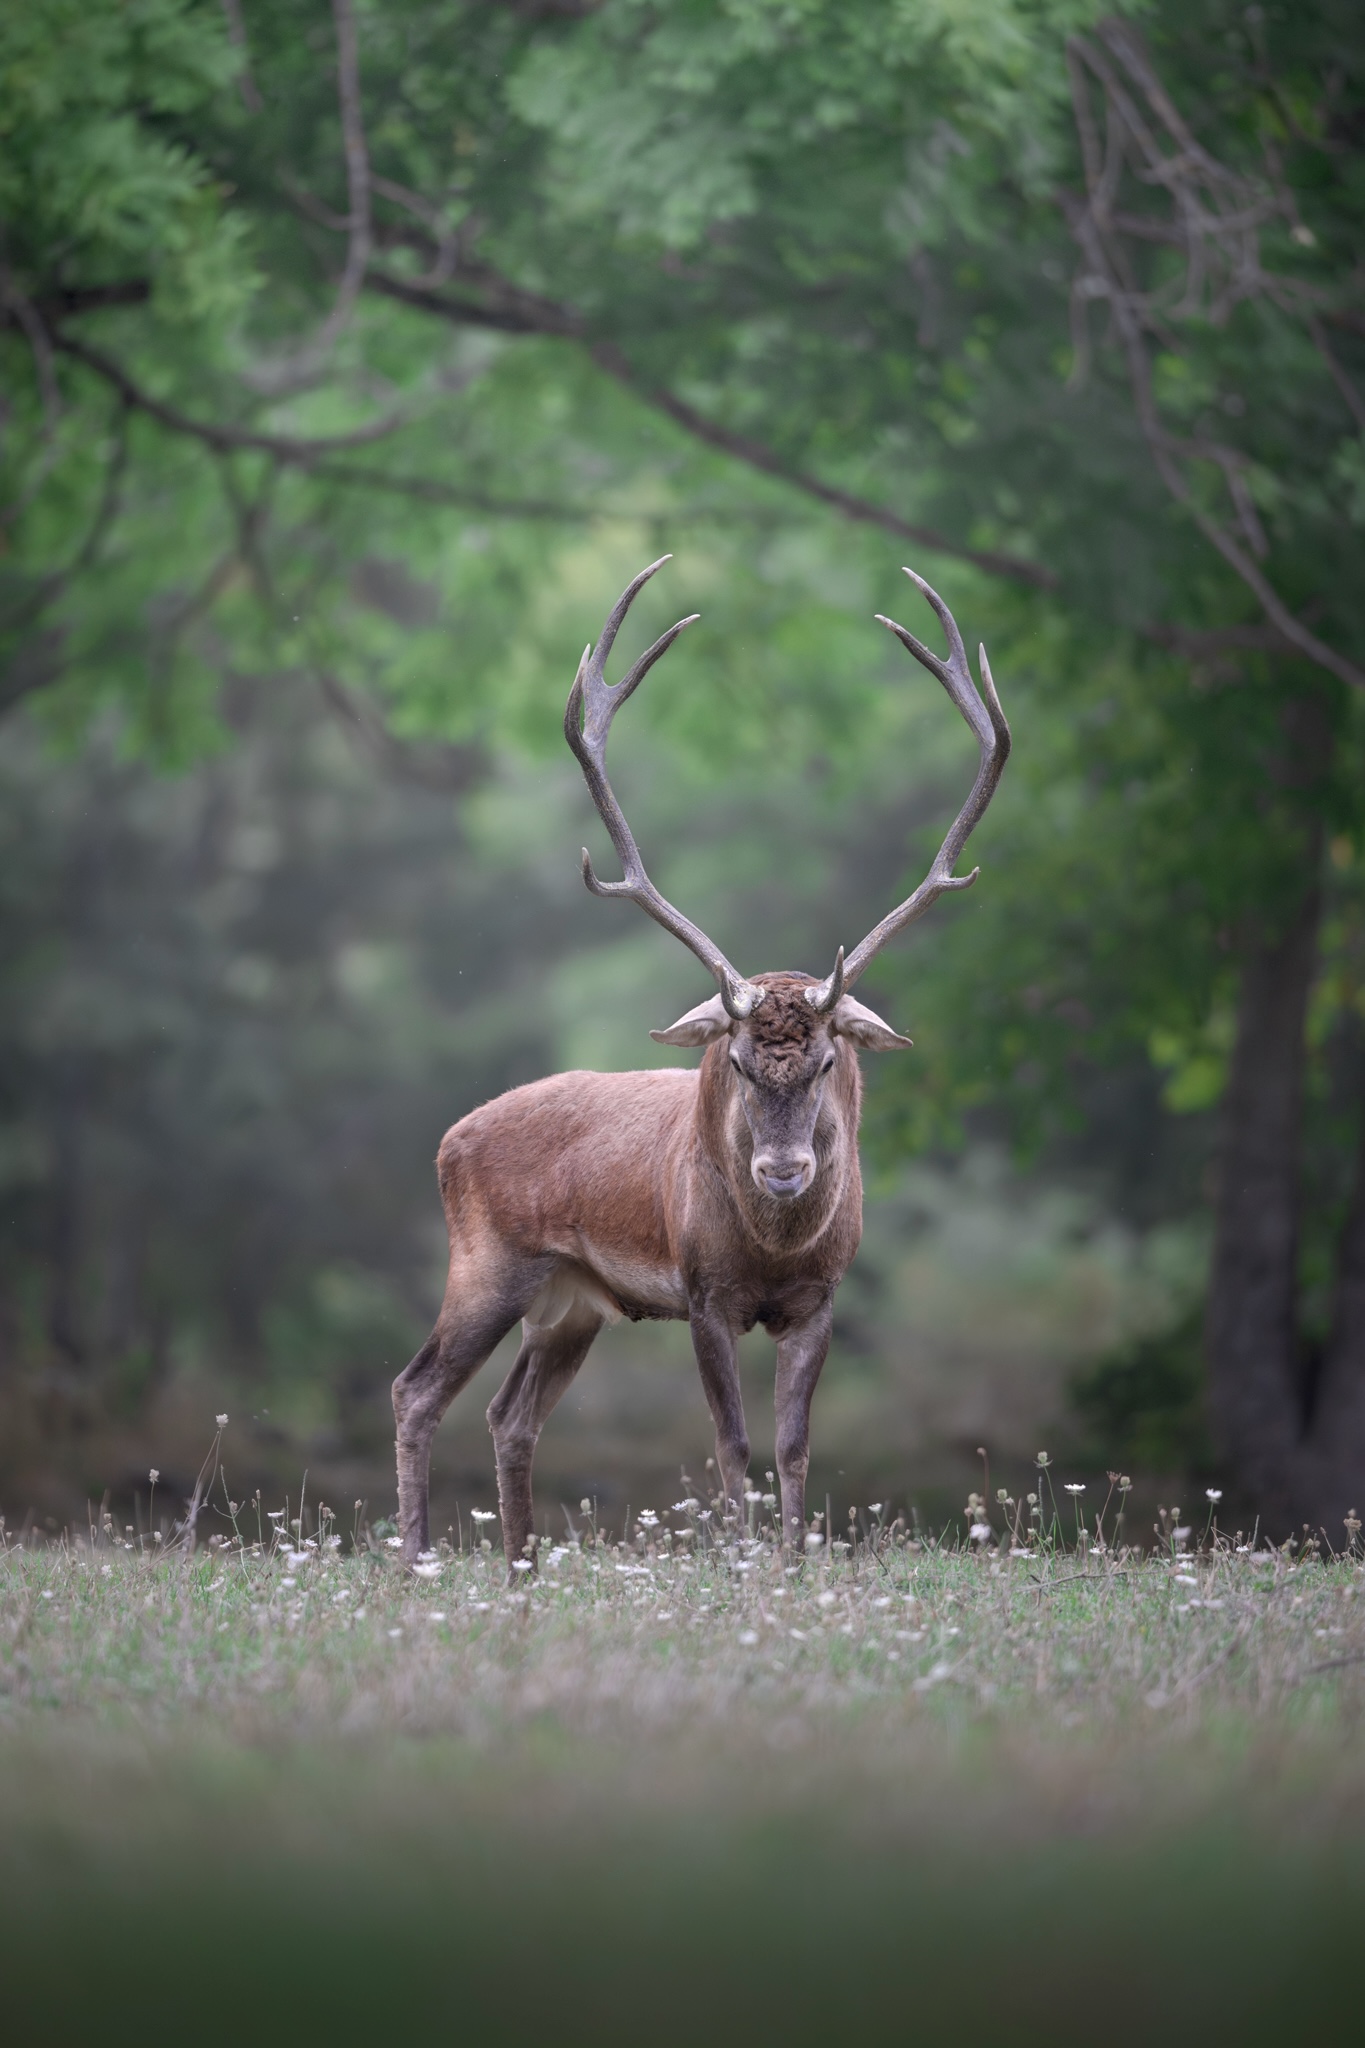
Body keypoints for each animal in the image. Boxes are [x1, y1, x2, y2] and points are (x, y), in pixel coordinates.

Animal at [393, 557, 1010, 1569]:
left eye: (826, 1062)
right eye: (741, 1064)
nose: (784, 1168)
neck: (772, 1248)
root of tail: (447, 1139)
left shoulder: (821, 1298)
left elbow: (794, 1443)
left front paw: (796, 1562)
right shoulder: (703, 1290)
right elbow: (730, 1440)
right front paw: (743, 1561)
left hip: (571, 1302)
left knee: (508, 1414)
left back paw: (521, 1568)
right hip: (486, 1263)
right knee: (416, 1390)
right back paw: (414, 1557)